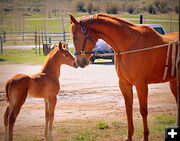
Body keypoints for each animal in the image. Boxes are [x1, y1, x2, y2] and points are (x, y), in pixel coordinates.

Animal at [69, 13, 179, 141]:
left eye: (75, 37)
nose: (79, 62)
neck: (128, 45)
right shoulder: (124, 84)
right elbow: (128, 109)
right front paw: (129, 136)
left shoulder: (141, 85)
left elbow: (143, 110)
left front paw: (145, 136)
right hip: (173, 81)